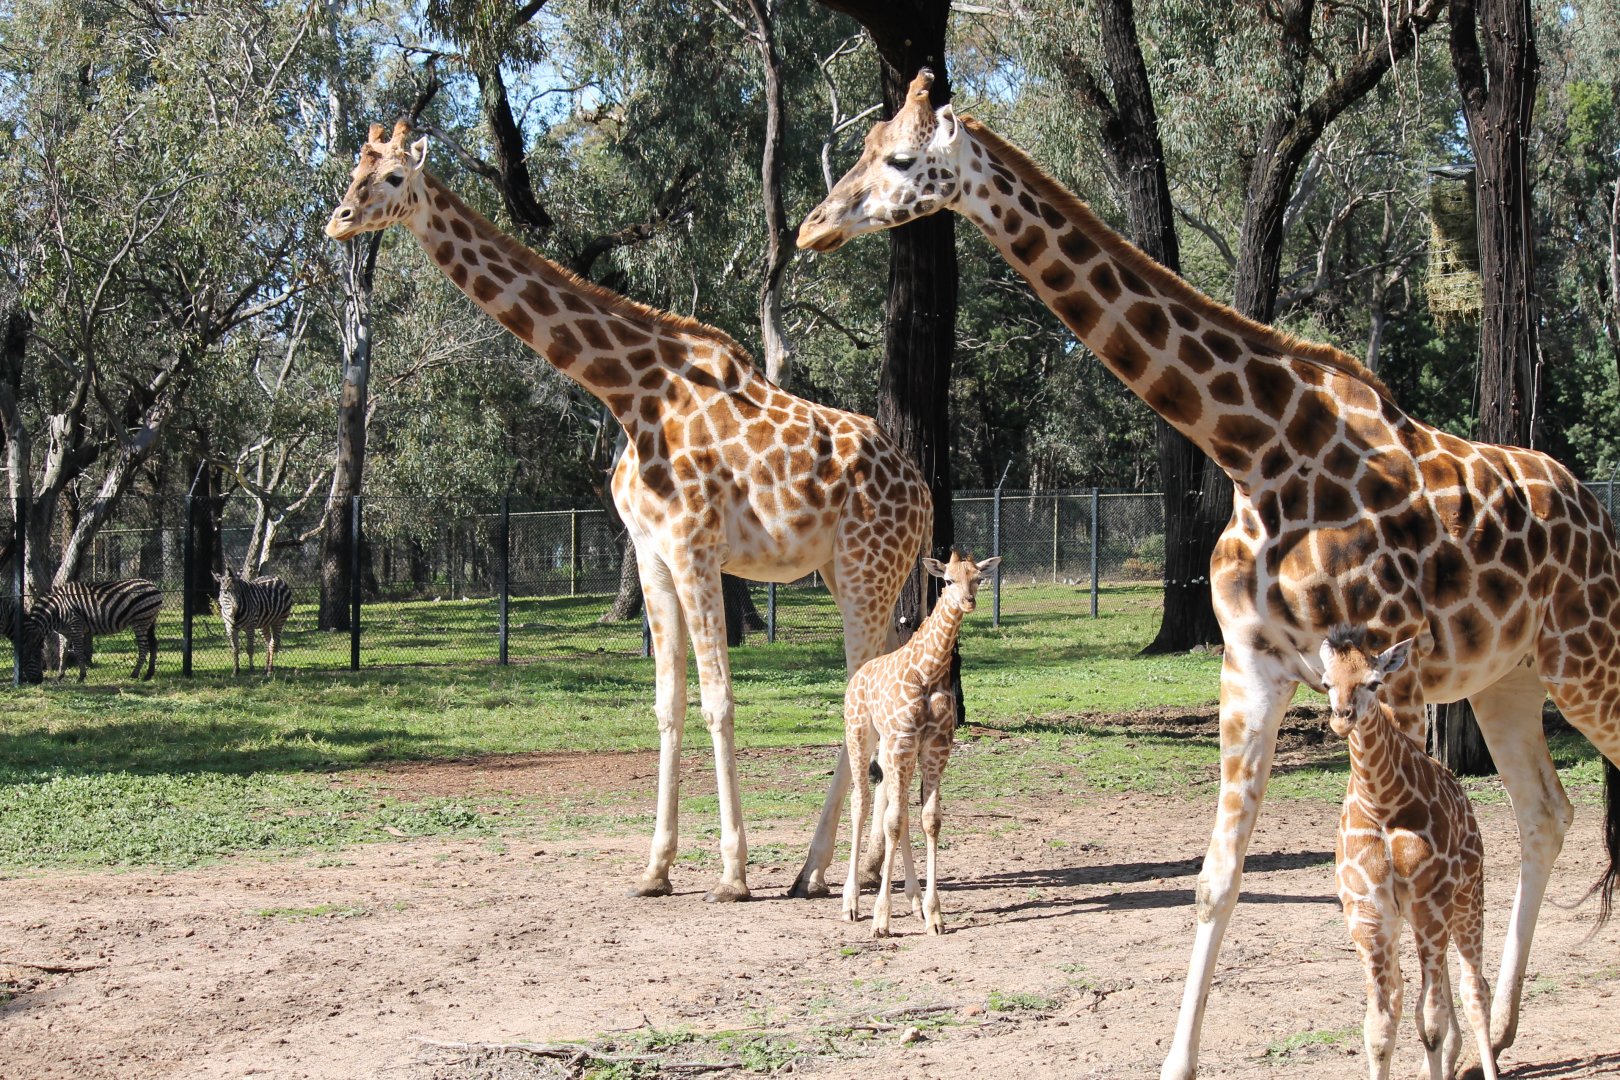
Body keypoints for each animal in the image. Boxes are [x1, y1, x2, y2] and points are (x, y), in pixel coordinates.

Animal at [327, 121, 932, 902]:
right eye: (354, 170)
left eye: (394, 178)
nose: (340, 219)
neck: (626, 389)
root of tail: (921, 489)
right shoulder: (650, 549)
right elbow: (667, 703)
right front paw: (656, 867)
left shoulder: (695, 545)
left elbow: (718, 699)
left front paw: (733, 873)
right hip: (853, 571)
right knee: (878, 685)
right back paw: (851, 863)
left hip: (865, 568)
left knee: (860, 689)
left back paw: (820, 867)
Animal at [842, 549, 1000, 937]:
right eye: (948, 580)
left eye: (978, 579)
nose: (968, 601)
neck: (928, 671)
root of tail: (857, 677)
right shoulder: (903, 742)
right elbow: (894, 821)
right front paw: (881, 920)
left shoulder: (935, 747)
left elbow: (928, 819)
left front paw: (935, 915)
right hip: (861, 735)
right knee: (861, 802)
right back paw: (850, 903)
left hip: (891, 750)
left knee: (890, 807)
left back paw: (913, 900)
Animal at [1319, 627, 1496, 1080]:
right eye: (1327, 683)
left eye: (1373, 682)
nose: (1342, 717)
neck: (1383, 804)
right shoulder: (1368, 915)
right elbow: (1380, 1027)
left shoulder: (1430, 902)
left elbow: (1429, 1022)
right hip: (1417, 918)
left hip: (1467, 898)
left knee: (1475, 990)